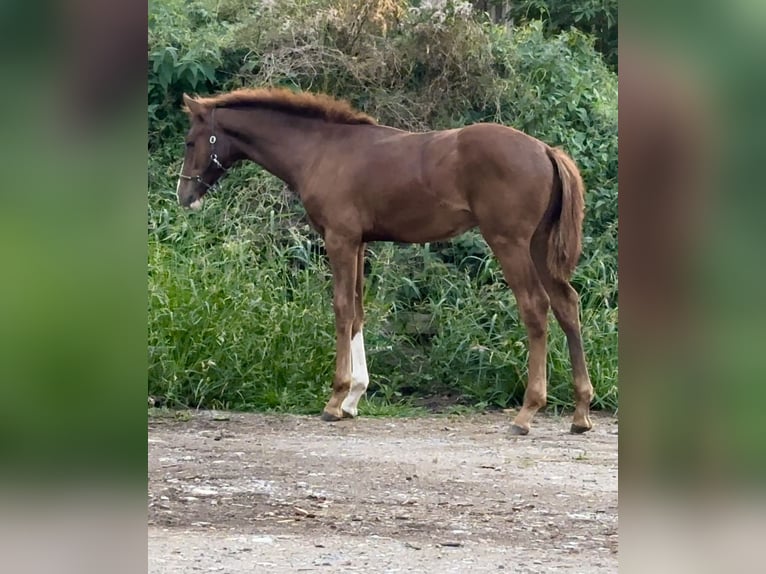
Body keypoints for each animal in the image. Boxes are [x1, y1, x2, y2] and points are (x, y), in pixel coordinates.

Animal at [176, 88, 592, 434]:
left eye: (191, 140)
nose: (184, 196)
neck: (320, 150)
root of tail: (545, 150)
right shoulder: (359, 242)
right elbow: (358, 311)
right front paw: (353, 398)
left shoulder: (339, 239)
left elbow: (342, 308)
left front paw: (335, 399)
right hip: (538, 245)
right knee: (567, 304)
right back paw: (580, 413)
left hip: (510, 243)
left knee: (535, 307)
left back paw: (526, 413)